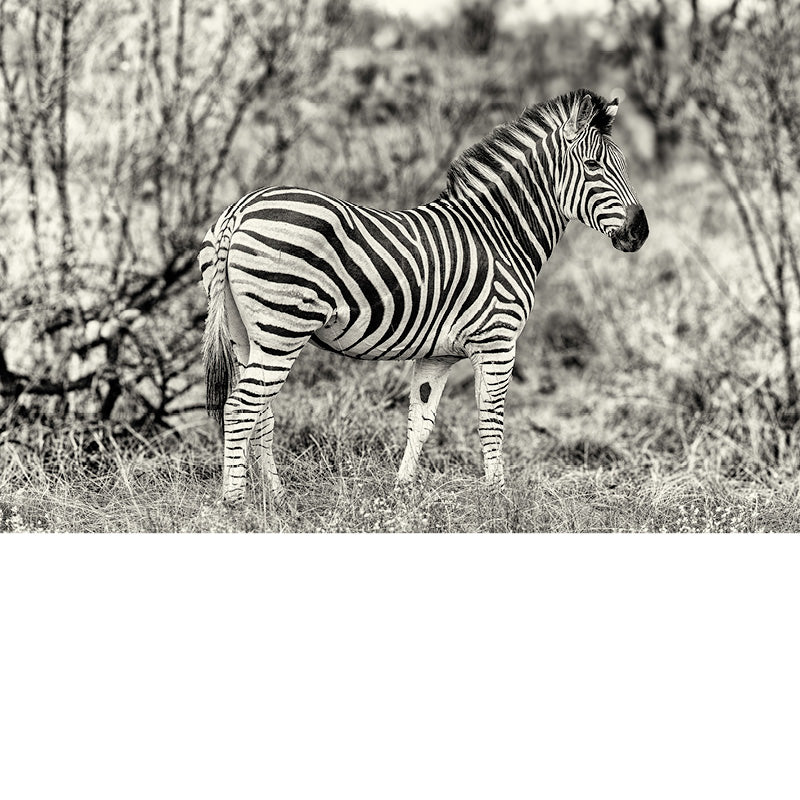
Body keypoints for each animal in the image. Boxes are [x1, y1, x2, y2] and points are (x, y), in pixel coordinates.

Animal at [199, 89, 649, 505]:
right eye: (592, 166)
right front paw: (499, 498)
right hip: (283, 328)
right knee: (240, 408)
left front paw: (403, 490)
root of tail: (240, 210)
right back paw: (235, 502)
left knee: (260, 411)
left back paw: (274, 497)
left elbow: (422, 419)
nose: (640, 232)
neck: (500, 233)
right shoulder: (497, 341)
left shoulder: (438, 355)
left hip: (246, 334)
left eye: (624, 166)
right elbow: (491, 417)